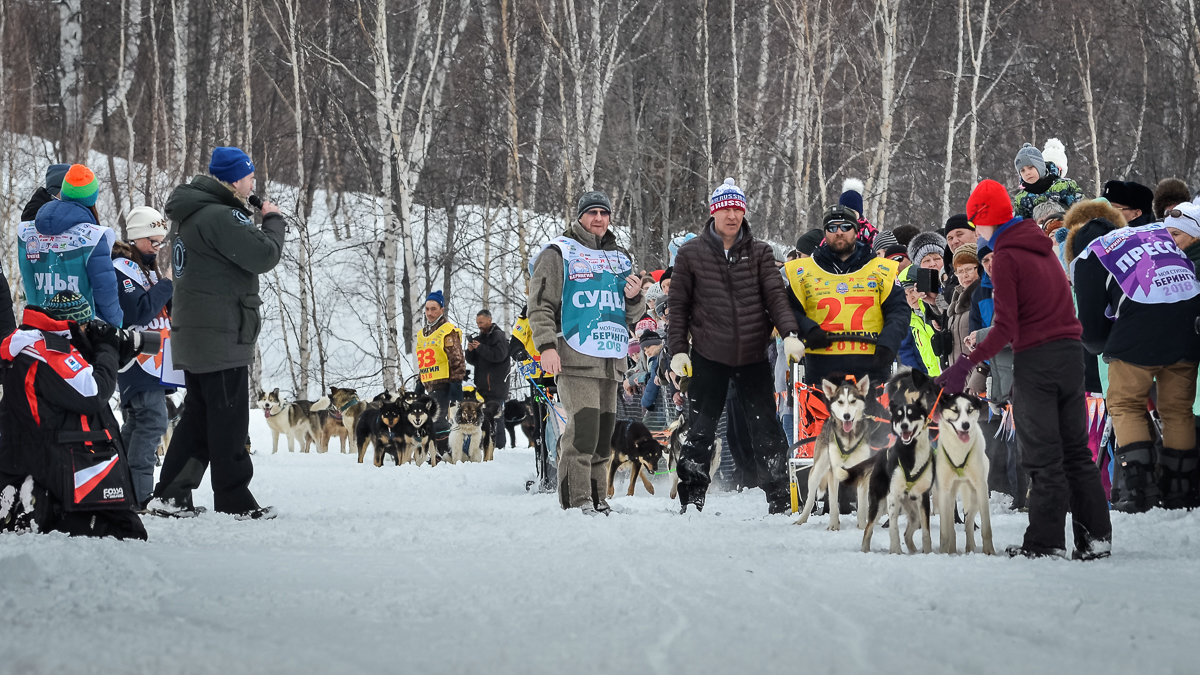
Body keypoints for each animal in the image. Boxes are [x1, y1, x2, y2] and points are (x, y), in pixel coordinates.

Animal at [796, 374, 873, 528]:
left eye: (853, 401)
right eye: (840, 402)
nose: (846, 416)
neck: (848, 439)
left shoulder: (863, 473)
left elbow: (862, 505)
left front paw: (862, 526)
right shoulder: (834, 470)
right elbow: (832, 502)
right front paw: (833, 526)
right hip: (818, 468)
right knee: (811, 495)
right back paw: (803, 518)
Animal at [864, 367, 936, 552]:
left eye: (912, 415)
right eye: (898, 416)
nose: (904, 426)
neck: (911, 452)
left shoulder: (923, 497)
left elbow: (926, 531)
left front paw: (928, 552)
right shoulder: (893, 497)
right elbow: (894, 529)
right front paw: (895, 550)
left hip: (914, 511)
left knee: (909, 532)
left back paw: (914, 551)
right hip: (879, 504)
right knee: (868, 529)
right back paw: (865, 549)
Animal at [936, 389, 993, 552]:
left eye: (970, 410)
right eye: (955, 410)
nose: (966, 425)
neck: (959, 451)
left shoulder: (981, 487)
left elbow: (986, 528)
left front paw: (989, 552)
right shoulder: (944, 490)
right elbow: (945, 531)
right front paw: (943, 552)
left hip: (974, 496)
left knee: (968, 522)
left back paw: (970, 547)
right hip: (950, 497)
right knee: (951, 525)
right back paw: (952, 549)